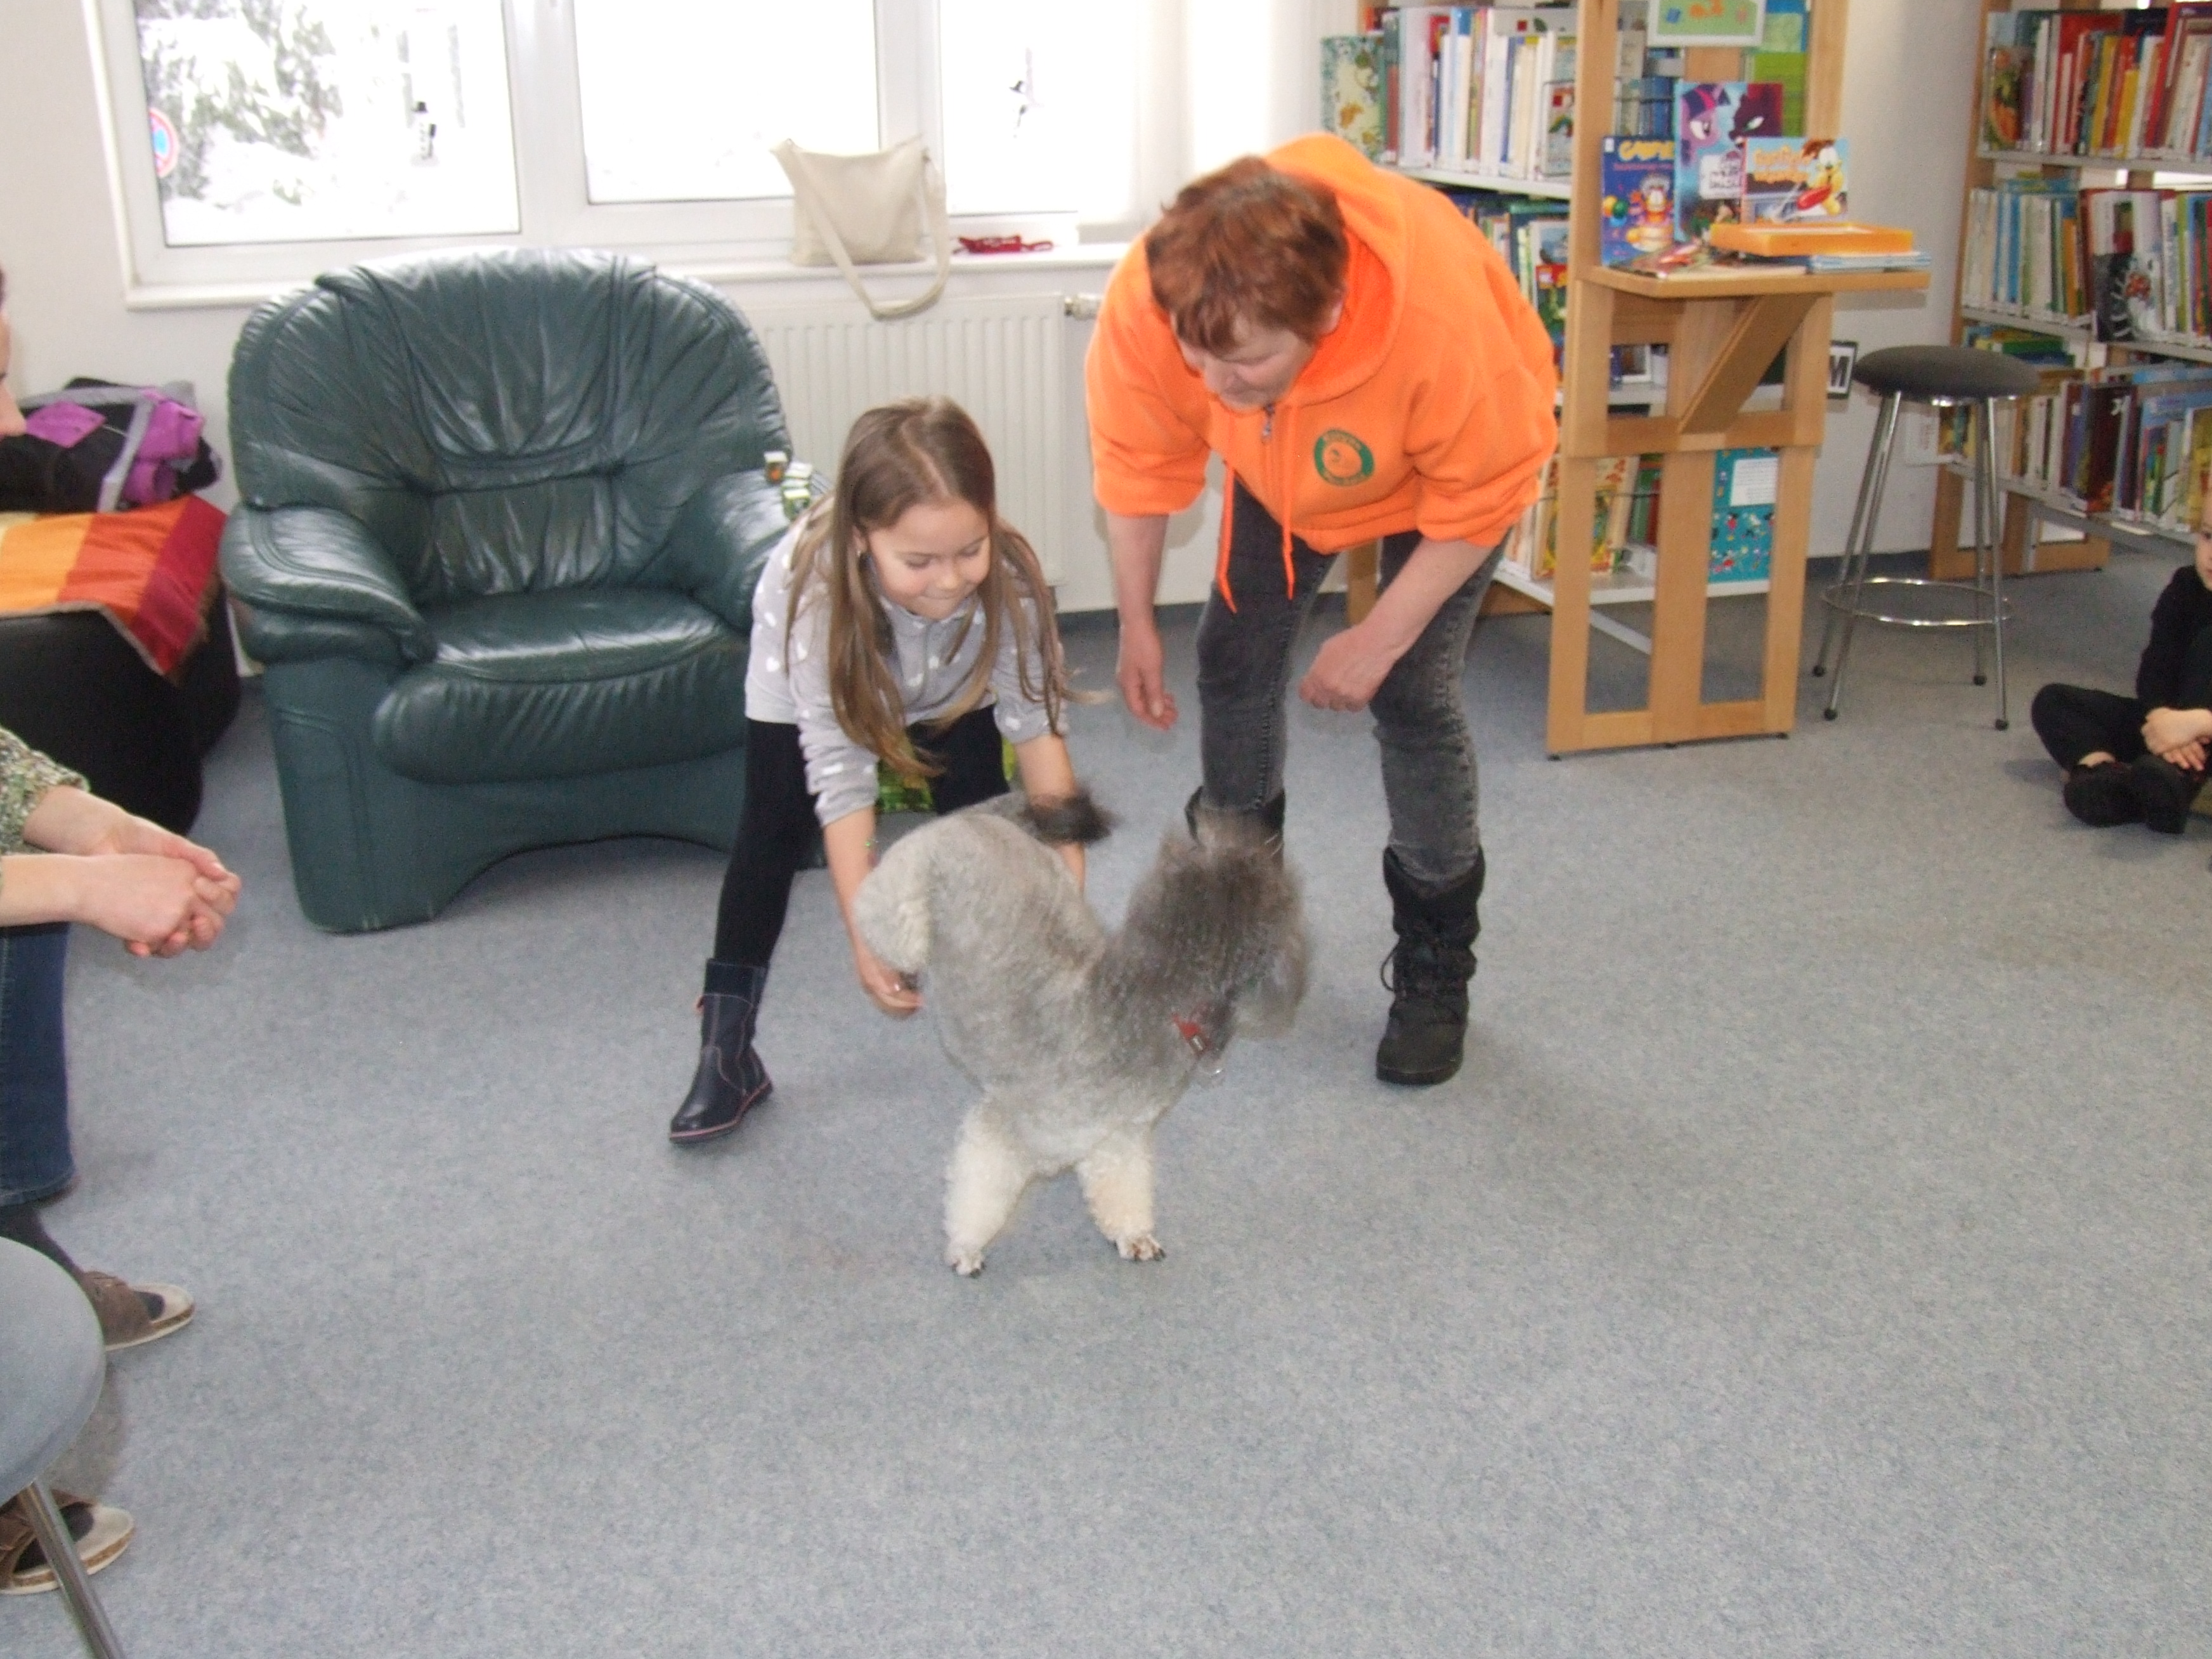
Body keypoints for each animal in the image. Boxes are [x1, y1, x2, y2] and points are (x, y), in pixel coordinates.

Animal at [852, 791, 1308, 1275]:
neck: (1135, 1006)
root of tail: (974, 818)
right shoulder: (1005, 1129)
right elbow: (979, 1192)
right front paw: (965, 1246)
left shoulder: (1118, 1139)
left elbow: (1122, 1188)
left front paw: (1133, 1235)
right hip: (902, 907)